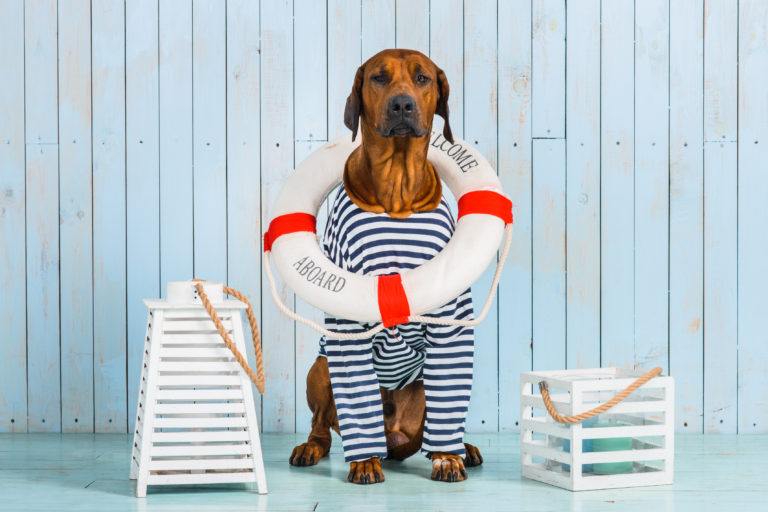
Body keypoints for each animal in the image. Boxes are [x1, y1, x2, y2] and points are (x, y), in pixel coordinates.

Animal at [292, 49, 484, 484]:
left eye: (422, 78)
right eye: (378, 78)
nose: (402, 105)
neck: (397, 196)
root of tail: (394, 435)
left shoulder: (451, 317)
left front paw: (448, 458)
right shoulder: (346, 326)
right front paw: (364, 462)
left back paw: (461, 449)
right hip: (320, 368)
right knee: (322, 424)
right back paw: (312, 447)